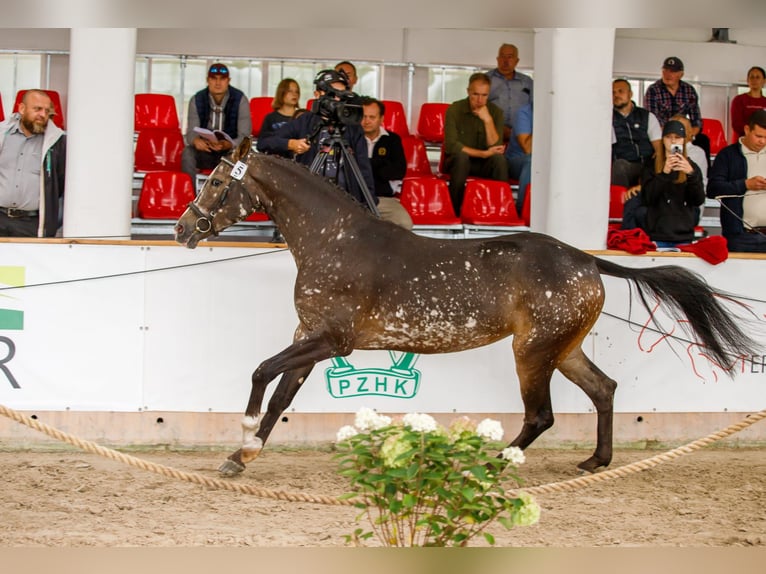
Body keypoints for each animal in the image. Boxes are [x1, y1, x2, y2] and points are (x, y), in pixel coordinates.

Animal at [174, 137, 758, 477]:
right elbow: (281, 395)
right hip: (563, 348)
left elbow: (261, 373)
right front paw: (241, 456)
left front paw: (244, 435)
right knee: (604, 390)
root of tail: (587, 261)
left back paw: (494, 463)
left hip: (532, 352)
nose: (182, 228)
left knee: (541, 415)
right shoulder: (310, 338)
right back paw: (595, 461)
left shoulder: (332, 340)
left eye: (218, 182)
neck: (333, 241)